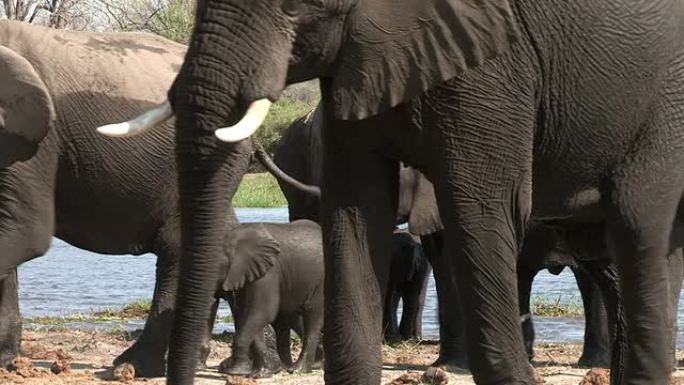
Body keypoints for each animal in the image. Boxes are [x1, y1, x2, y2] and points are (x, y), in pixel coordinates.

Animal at [212, 219, 324, 376]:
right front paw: (262, 372)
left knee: (311, 315)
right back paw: (294, 366)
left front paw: (237, 372)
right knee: (285, 320)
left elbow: (262, 312)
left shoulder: (268, 273)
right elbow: (247, 314)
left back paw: (297, 369)